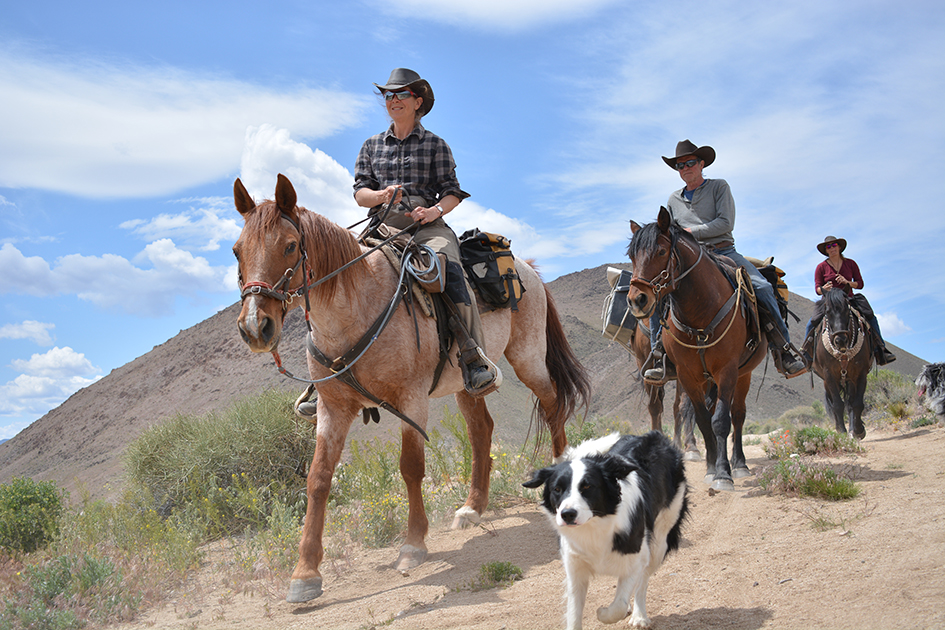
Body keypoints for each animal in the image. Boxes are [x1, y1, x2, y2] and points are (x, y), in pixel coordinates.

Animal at [234, 175, 592, 604]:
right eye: (237, 251)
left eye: (289, 245)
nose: (255, 327)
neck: (355, 308)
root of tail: (529, 269)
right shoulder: (333, 407)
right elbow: (318, 479)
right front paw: (305, 574)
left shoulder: (411, 398)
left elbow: (410, 468)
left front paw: (413, 545)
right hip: (467, 382)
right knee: (481, 429)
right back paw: (472, 508)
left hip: (528, 359)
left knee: (553, 405)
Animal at [628, 209, 768, 494]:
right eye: (632, 256)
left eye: (661, 251)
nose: (637, 300)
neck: (700, 313)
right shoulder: (687, 374)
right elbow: (702, 419)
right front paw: (711, 467)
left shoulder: (726, 370)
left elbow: (721, 420)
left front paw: (724, 474)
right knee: (661, 408)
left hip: (743, 374)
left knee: (738, 415)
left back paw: (739, 464)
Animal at [808, 288, 872, 440]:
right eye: (827, 311)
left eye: (847, 310)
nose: (840, 340)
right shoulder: (829, 374)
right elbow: (837, 405)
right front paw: (841, 432)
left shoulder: (861, 373)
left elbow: (857, 404)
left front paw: (858, 431)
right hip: (830, 381)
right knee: (835, 404)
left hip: (850, 379)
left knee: (850, 403)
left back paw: (853, 430)